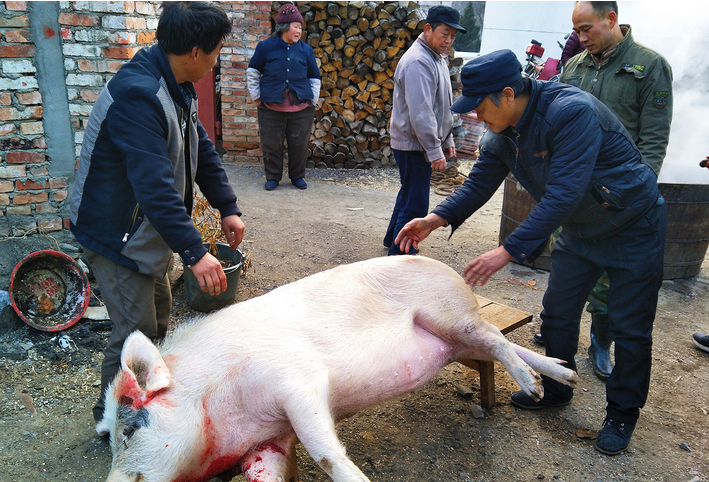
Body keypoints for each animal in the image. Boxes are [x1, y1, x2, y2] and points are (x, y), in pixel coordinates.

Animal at [98, 254, 576, 480]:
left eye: (130, 431)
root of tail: (452, 272)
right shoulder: (267, 442)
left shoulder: (297, 380)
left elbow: (325, 453)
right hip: (456, 341)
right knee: (499, 344)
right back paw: (560, 375)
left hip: (449, 314)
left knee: (495, 338)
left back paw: (534, 389)